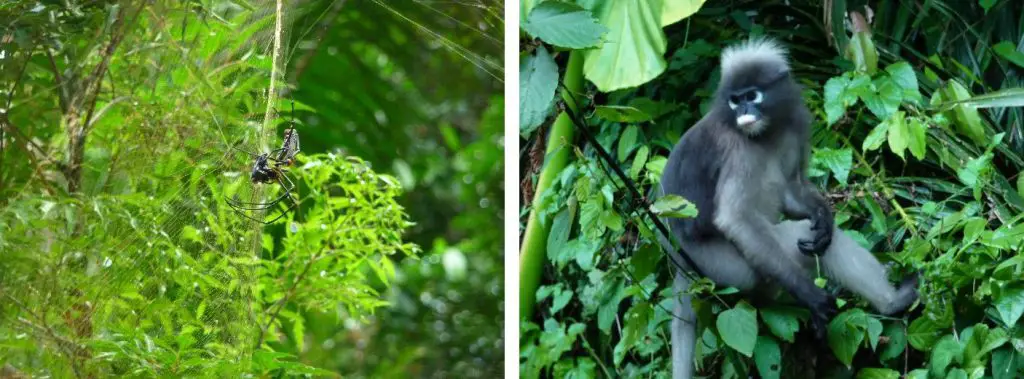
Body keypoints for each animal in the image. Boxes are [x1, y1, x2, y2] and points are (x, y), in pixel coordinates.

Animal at [659, 39, 925, 379]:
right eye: (735, 100)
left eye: (751, 96)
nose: (743, 112)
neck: (766, 132)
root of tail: (679, 262)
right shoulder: (737, 149)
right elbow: (735, 218)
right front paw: (810, 295)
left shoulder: (795, 124)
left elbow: (791, 187)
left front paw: (823, 218)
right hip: (727, 268)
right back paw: (892, 302)